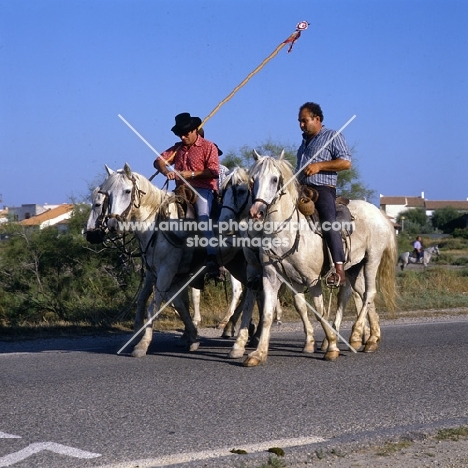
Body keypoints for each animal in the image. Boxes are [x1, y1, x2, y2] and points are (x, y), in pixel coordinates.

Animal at [247, 153, 396, 366]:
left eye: (275, 179)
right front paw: (258, 354)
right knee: (358, 295)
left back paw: (356, 334)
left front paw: (331, 347)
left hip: (372, 259)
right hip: (353, 268)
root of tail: (380, 213)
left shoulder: (312, 279)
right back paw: (372, 338)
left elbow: (319, 311)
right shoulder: (274, 278)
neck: (287, 231)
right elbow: (270, 314)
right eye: (253, 179)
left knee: (369, 293)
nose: (256, 212)